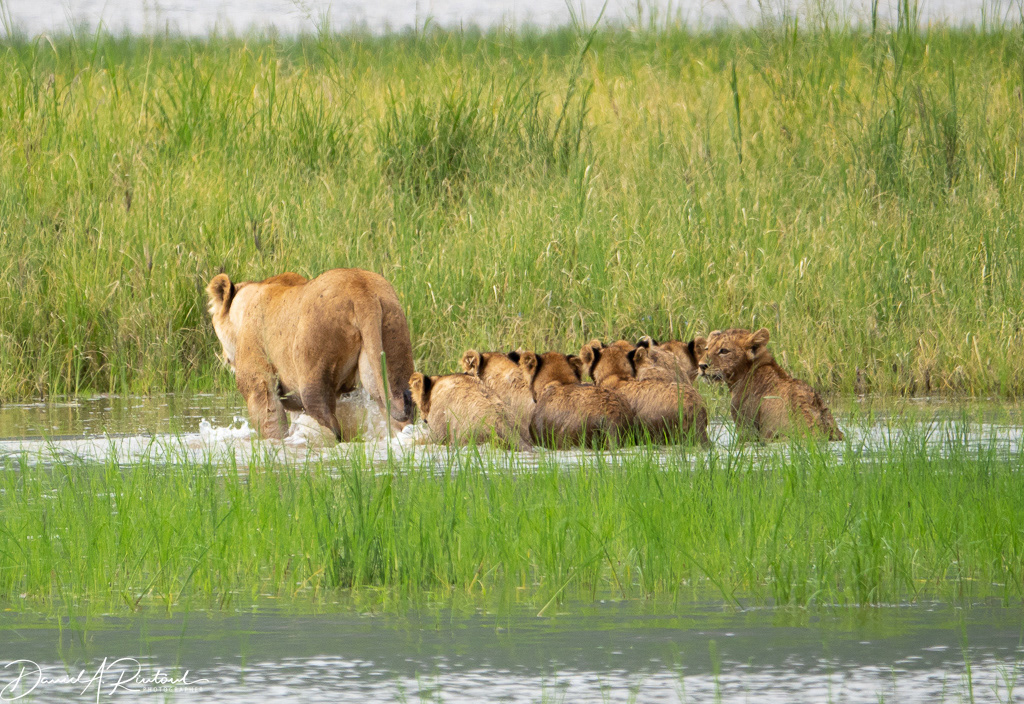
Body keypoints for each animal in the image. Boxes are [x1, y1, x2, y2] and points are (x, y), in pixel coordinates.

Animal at [206, 268, 415, 442]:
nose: (224, 356)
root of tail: (360, 291)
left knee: (331, 427)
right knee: (399, 414)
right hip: (391, 352)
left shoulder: (259, 381)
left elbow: (271, 424)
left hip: (313, 374)